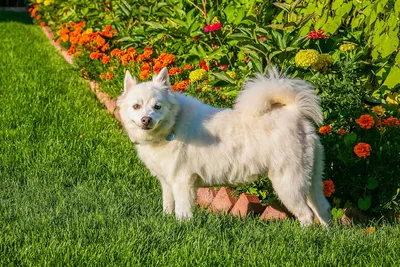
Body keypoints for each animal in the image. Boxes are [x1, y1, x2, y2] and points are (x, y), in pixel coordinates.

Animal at [118, 66, 332, 226]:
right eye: (136, 106)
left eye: (157, 107)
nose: (146, 120)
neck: (174, 124)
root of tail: (295, 112)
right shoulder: (167, 182)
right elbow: (168, 207)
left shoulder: (182, 182)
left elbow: (182, 211)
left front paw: (181, 226)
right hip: (312, 180)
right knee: (323, 209)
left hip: (288, 183)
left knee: (306, 215)